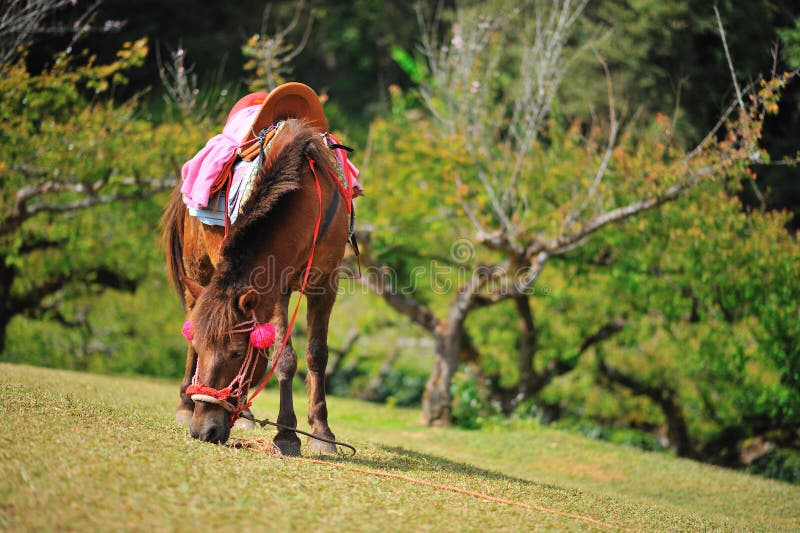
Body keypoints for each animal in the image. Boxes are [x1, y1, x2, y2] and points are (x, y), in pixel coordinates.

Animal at [161, 117, 348, 454]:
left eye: (237, 353)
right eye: (204, 348)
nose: (203, 429)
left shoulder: (325, 284)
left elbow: (316, 354)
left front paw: (321, 433)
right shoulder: (277, 288)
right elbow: (284, 358)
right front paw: (286, 433)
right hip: (197, 272)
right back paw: (185, 404)